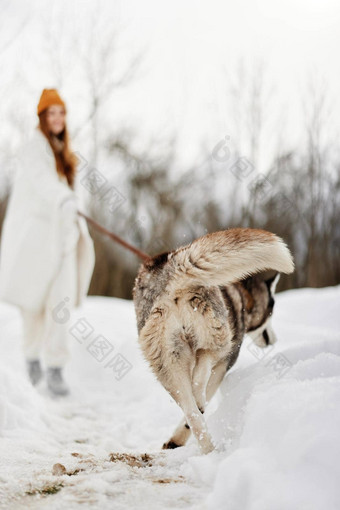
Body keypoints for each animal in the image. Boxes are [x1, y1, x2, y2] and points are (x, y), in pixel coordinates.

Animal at [133, 229, 294, 452]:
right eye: (271, 310)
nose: (274, 339)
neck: (240, 297)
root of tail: (170, 269)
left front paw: (175, 441)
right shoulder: (225, 363)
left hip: (168, 362)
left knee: (191, 410)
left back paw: (206, 448)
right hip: (217, 339)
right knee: (202, 369)